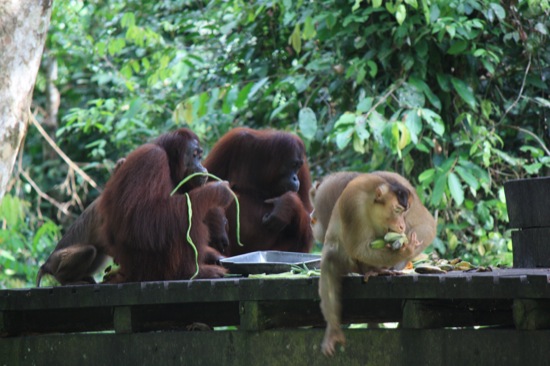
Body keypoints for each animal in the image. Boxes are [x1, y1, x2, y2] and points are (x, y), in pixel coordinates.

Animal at [316, 172, 438, 358]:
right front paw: (405, 251)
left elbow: (427, 225)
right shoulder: (353, 203)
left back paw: (381, 269)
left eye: (405, 211)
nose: (402, 225)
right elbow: (357, 247)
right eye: (397, 210)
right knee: (332, 260)